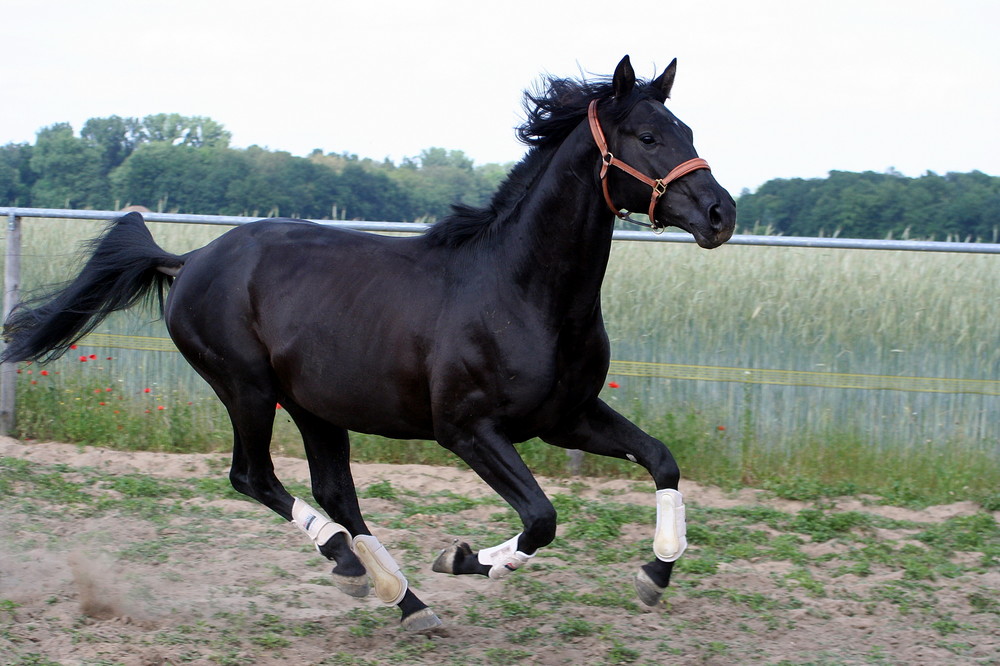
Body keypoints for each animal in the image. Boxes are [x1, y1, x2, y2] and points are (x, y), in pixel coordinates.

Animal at [0, 55, 736, 628]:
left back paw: (402, 599)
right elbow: (542, 517)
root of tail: (190, 260)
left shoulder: (567, 417)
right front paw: (460, 558)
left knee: (336, 493)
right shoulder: (467, 430)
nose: (720, 213)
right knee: (254, 476)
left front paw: (654, 576)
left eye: (687, 130)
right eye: (647, 134)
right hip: (246, 388)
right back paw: (351, 566)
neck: (521, 289)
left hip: (314, 405)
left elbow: (663, 460)